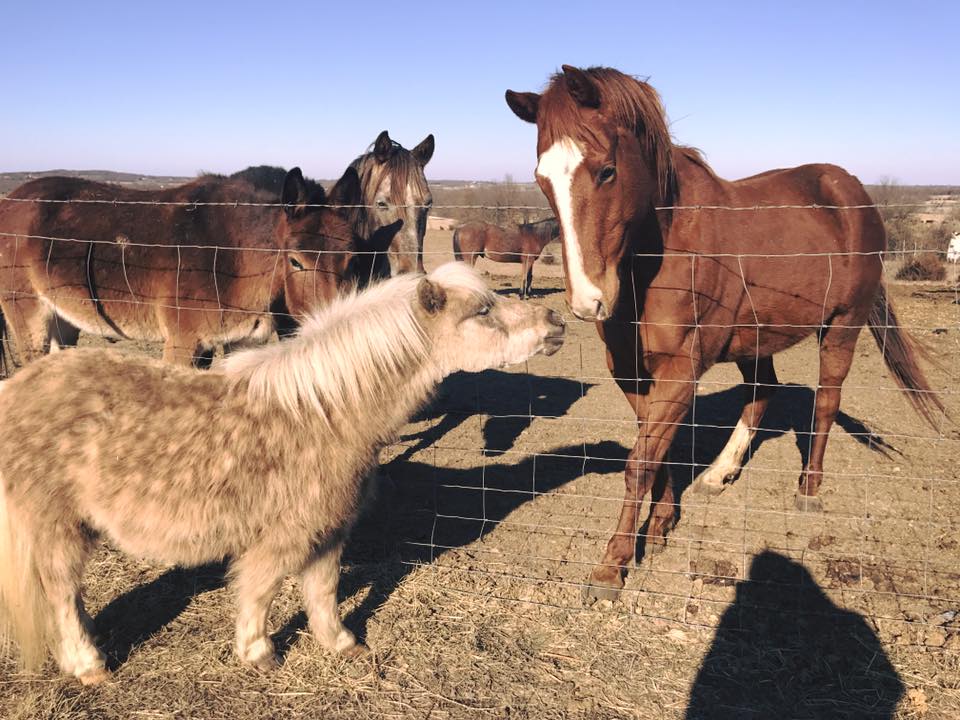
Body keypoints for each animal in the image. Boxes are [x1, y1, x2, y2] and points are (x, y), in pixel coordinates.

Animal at [0, 166, 372, 368]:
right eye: (295, 261)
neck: (236, 256)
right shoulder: (182, 343)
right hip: (29, 316)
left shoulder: (242, 342)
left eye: (352, 260)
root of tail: (12, 199)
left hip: (62, 318)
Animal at [0, 262, 564, 684]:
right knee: (61, 592)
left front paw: (341, 643)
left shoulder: (329, 531)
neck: (325, 413)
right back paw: (88, 664)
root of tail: (16, 390)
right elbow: (261, 589)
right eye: (483, 311)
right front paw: (258, 652)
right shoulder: (285, 535)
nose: (556, 323)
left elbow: (322, 591)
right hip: (57, 528)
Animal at [506, 63, 948, 600]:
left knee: (825, 401)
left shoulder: (681, 370)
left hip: (842, 326)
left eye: (606, 170)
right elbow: (655, 452)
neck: (660, 254)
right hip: (757, 338)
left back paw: (808, 490)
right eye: (542, 179)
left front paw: (612, 566)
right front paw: (661, 524)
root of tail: (853, 194)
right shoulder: (633, 373)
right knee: (763, 391)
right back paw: (720, 474)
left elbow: (639, 464)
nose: (589, 301)